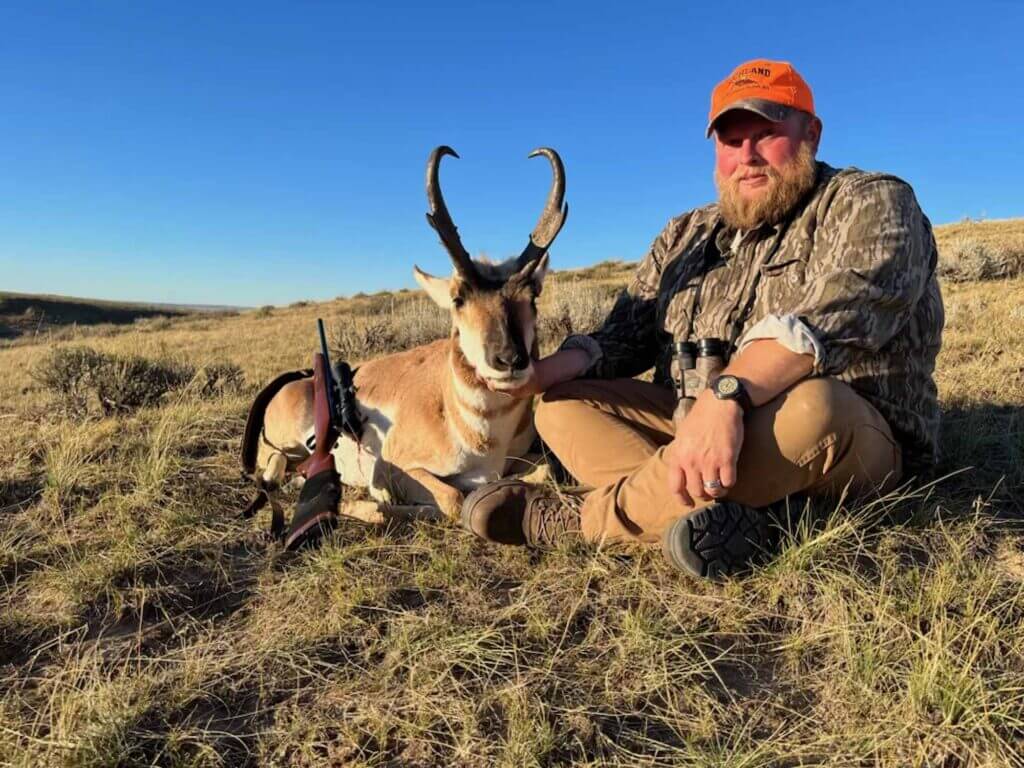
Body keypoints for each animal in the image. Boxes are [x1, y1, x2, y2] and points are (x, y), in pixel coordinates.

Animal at [246, 146, 567, 523]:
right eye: (458, 298)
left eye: (532, 296)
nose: (509, 359)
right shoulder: (398, 466)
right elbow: (452, 498)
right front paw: (382, 500)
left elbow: (547, 469)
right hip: (284, 446)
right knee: (275, 468)